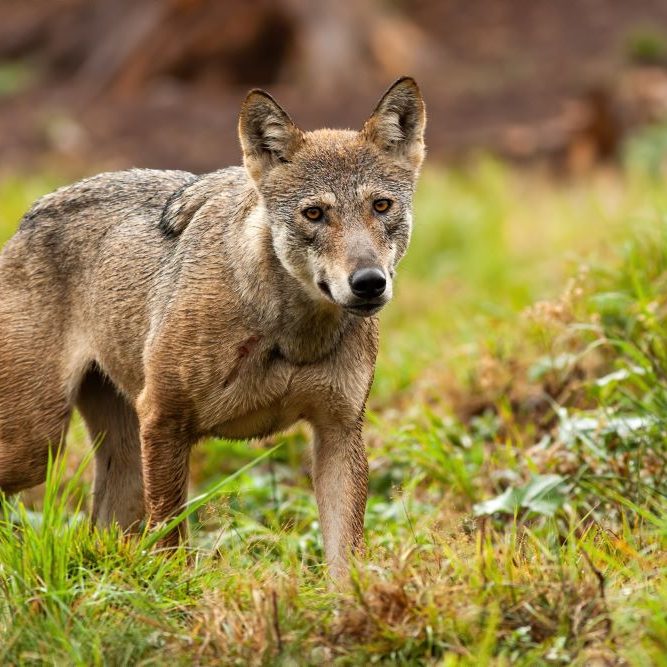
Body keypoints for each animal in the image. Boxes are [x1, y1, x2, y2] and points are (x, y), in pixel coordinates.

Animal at [0, 77, 426, 577]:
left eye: (381, 206)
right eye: (314, 214)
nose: (369, 282)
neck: (289, 335)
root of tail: (28, 215)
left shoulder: (339, 431)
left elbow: (345, 563)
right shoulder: (163, 419)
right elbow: (172, 548)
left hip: (117, 469)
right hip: (36, 448)